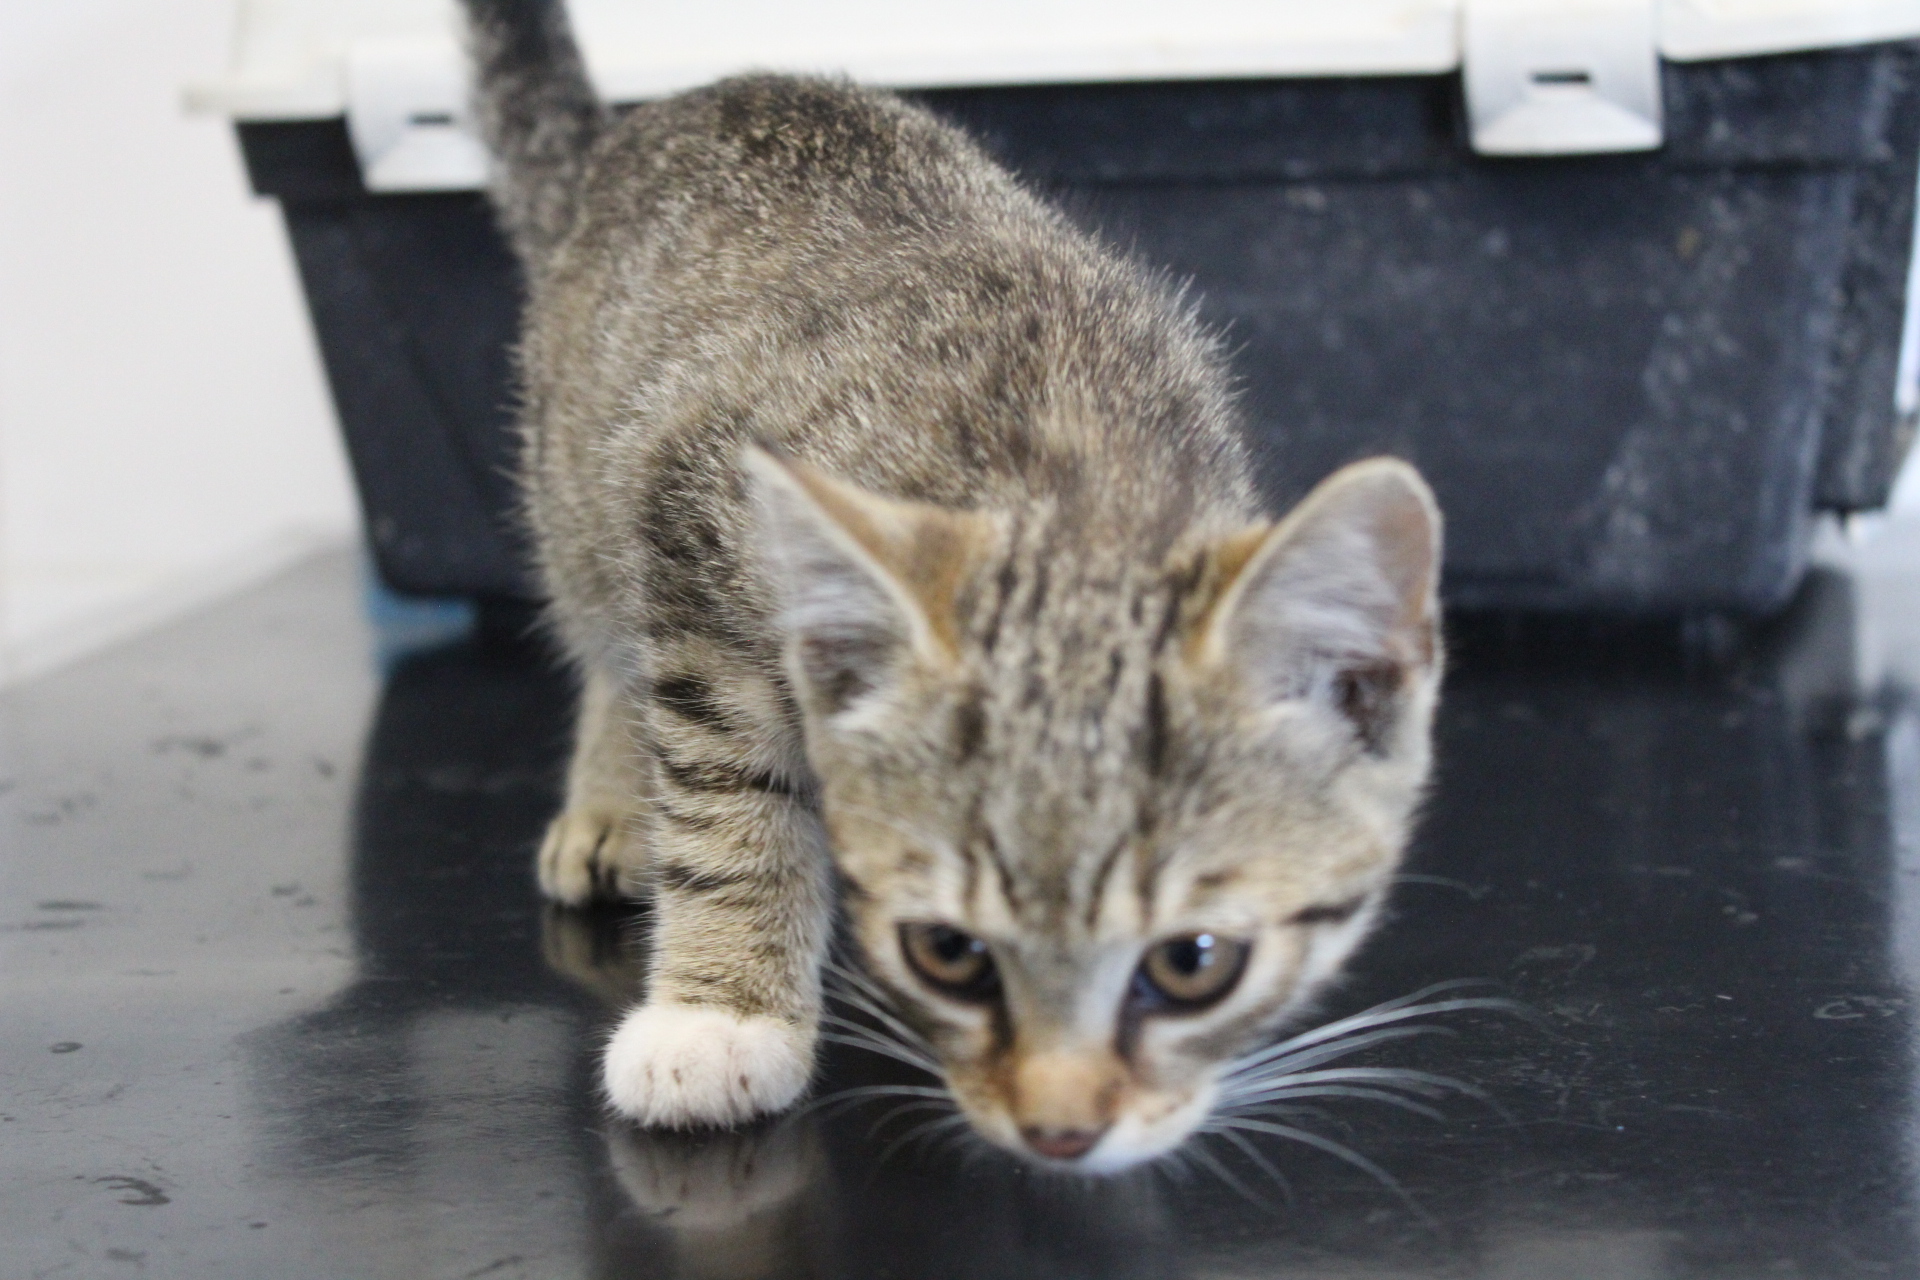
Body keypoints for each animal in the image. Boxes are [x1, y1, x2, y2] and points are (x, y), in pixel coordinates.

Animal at [460, 0, 1444, 1171]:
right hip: (577, 481)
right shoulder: (698, 535)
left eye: (1194, 960)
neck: (1071, 484)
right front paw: (722, 1015)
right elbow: (727, 799)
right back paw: (612, 805)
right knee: (605, 643)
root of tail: (648, 123)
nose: (1064, 1125)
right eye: (953, 948)